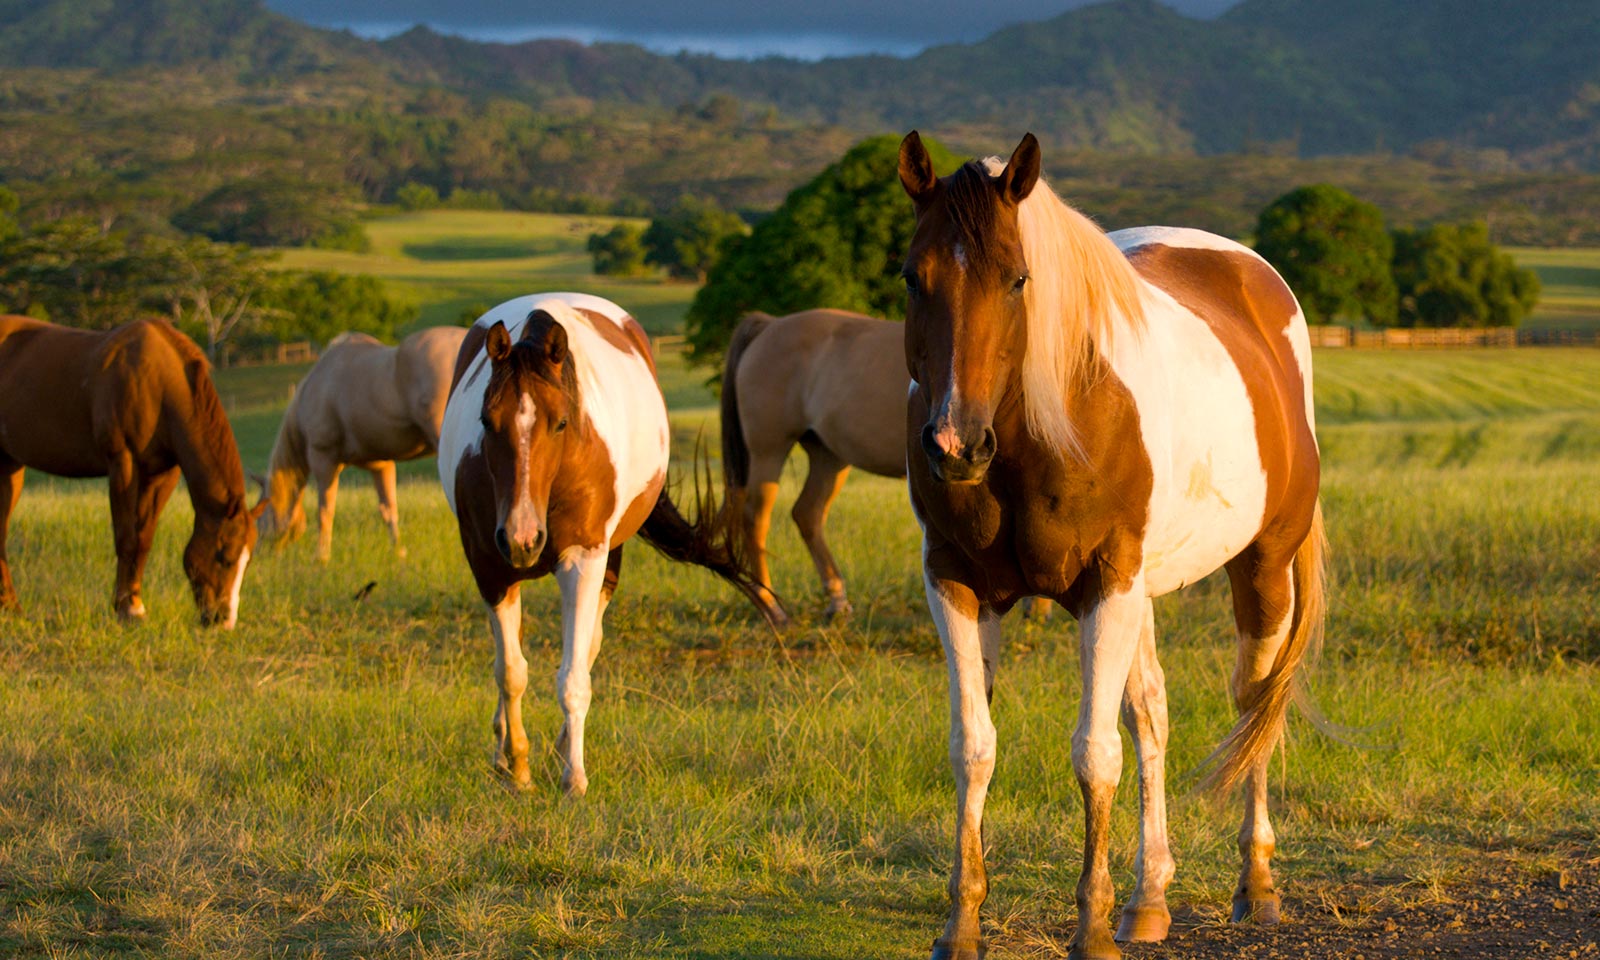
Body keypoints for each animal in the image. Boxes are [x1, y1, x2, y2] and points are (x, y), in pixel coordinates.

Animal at [0, 316, 262, 630]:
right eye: (225, 556)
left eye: (248, 560)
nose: (223, 620)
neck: (159, 386)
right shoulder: (122, 463)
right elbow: (126, 538)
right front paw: (127, 610)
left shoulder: (162, 474)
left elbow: (143, 539)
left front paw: (135, 604)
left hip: (9, 465)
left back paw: (11, 608)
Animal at [256, 326, 467, 560]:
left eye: (258, 518)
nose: (259, 553)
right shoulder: (381, 464)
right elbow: (388, 509)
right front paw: (398, 552)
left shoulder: (323, 458)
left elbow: (325, 510)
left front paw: (321, 556)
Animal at [441, 291, 784, 793]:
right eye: (486, 420)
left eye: (561, 422)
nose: (524, 538)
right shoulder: (488, 565)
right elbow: (511, 672)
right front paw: (518, 766)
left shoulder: (584, 559)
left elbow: (572, 676)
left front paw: (573, 777)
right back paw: (505, 751)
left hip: (608, 559)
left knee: (587, 649)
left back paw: (562, 747)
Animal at [720, 308, 908, 624]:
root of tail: (770, 325)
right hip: (769, 451)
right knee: (755, 518)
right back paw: (772, 607)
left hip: (828, 457)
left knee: (807, 513)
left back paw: (836, 601)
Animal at [902, 129, 1324, 960]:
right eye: (912, 278)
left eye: (1018, 279)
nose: (955, 446)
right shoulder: (957, 583)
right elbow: (975, 748)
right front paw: (961, 924)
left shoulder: (1105, 583)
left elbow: (1095, 755)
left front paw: (1091, 928)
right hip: (1145, 591)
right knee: (1151, 713)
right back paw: (1149, 897)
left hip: (1261, 566)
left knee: (1254, 703)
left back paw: (1256, 883)